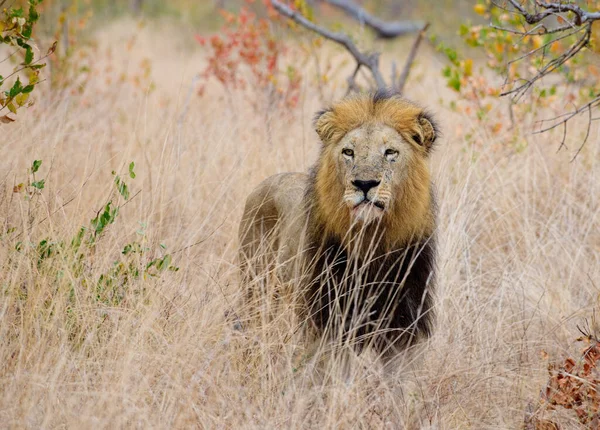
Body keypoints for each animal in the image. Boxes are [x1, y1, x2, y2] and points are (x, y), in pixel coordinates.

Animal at [239, 89, 440, 362]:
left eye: (390, 152)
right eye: (348, 152)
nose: (364, 183)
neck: (371, 242)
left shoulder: (402, 328)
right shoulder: (328, 324)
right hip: (254, 288)